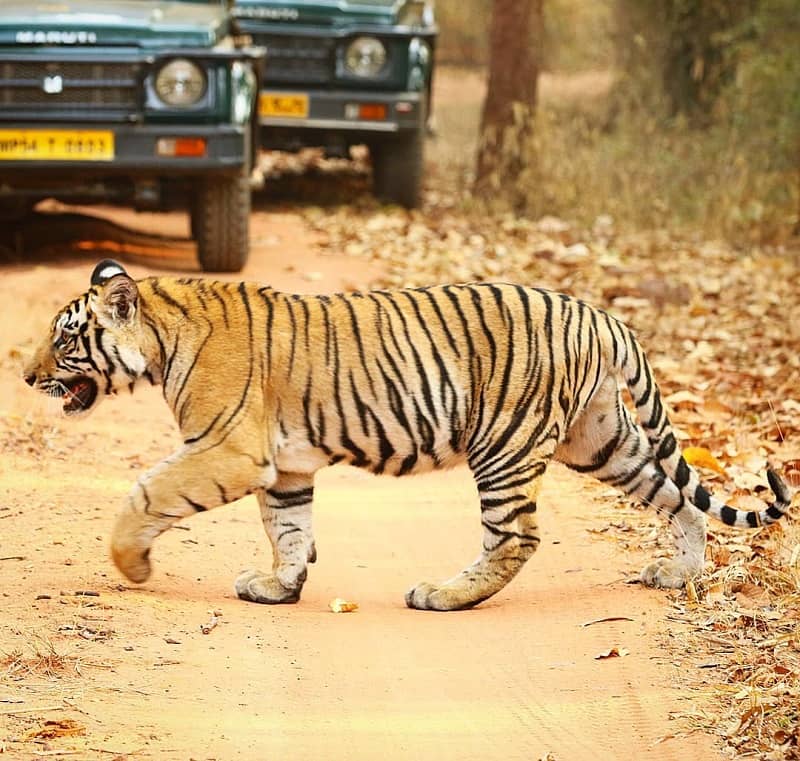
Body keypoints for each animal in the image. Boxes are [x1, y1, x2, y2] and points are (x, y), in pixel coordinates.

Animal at [21, 262, 792, 612]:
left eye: (64, 339)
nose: (27, 376)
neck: (159, 339)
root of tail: (601, 314)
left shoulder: (227, 450)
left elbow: (146, 493)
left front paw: (132, 565)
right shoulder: (284, 465)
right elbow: (289, 528)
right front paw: (281, 585)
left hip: (506, 445)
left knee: (516, 537)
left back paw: (446, 594)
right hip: (600, 439)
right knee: (681, 499)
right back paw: (680, 573)